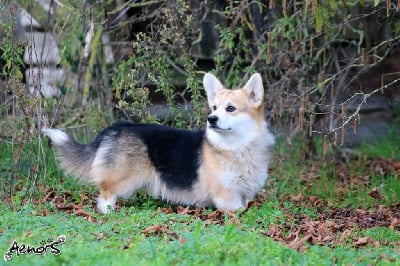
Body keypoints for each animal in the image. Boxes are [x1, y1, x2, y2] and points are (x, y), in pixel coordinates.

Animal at [43, 73, 276, 214]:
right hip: (122, 179)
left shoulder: (244, 194)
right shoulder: (227, 197)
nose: (211, 119)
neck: (237, 147)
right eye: (214, 107)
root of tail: (116, 127)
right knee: (105, 195)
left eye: (230, 108)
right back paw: (110, 213)